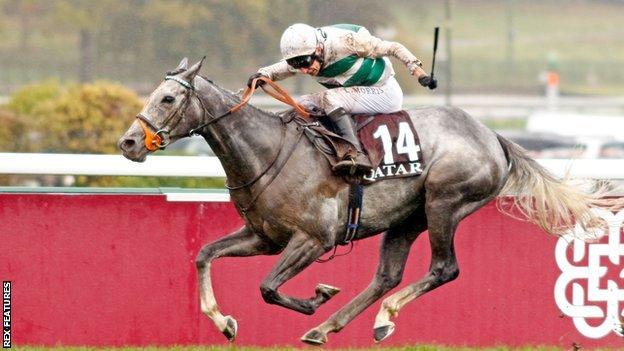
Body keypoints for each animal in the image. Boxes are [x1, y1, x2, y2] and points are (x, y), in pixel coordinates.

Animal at [117, 58, 608, 346]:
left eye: (168, 97)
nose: (128, 142)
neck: (266, 151)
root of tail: (493, 136)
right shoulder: (263, 237)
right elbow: (204, 255)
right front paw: (222, 322)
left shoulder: (312, 239)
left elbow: (269, 288)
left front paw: (316, 296)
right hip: (406, 219)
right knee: (386, 276)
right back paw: (331, 326)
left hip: (444, 203)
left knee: (444, 268)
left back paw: (378, 318)